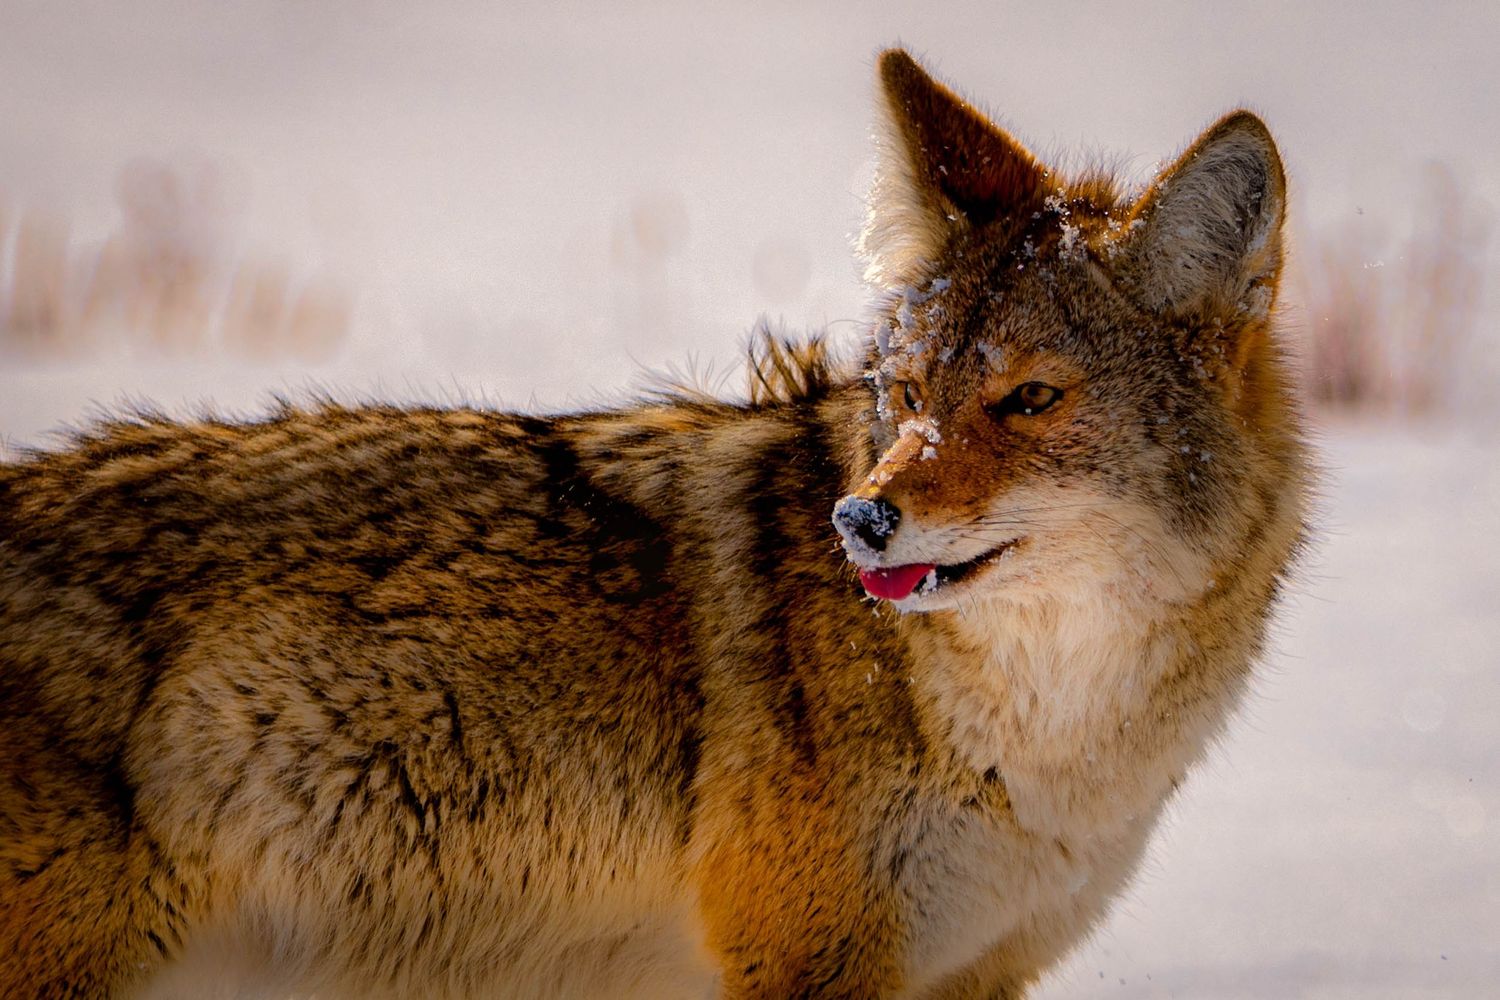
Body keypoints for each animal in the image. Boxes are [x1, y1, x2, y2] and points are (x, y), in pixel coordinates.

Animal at [0, 48, 1308, 999]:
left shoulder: (976, 975)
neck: (1051, 737)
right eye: (907, 394)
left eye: (1030, 398)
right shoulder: (805, 966)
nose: (861, 518)